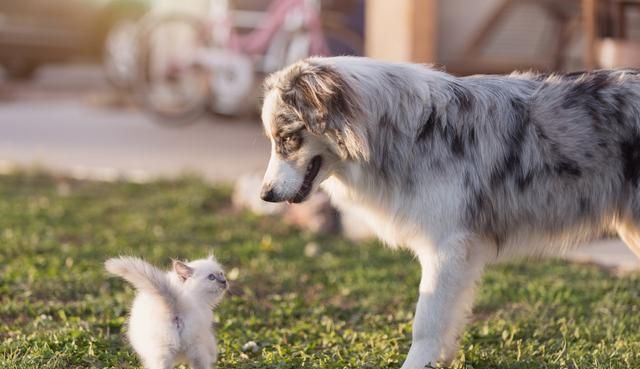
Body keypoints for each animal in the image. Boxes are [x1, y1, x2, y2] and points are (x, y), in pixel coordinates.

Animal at [258, 56, 640, 366]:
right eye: (273, 140)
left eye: (288, 138)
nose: (265, 195)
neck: (406, 133)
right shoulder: (459, 253)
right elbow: (448, 318)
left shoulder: (446, 246)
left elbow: (426, 321)